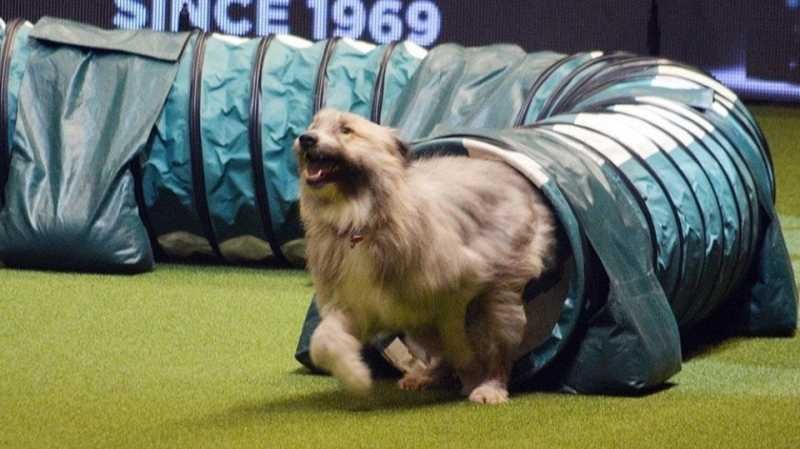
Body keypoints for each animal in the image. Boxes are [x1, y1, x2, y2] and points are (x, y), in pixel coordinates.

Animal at [294, 108, 556, 402]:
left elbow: (458, 342)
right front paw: (356, 376)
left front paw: (471, 376)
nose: (305, 139)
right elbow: (323, 340)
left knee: (497, 349)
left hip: (500, 294)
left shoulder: (461, 289)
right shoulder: (357, 304)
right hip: (418, 322)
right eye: (314, 125)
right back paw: (426, 376)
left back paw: (490, 387)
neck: (359, 221)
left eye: (346, 130)